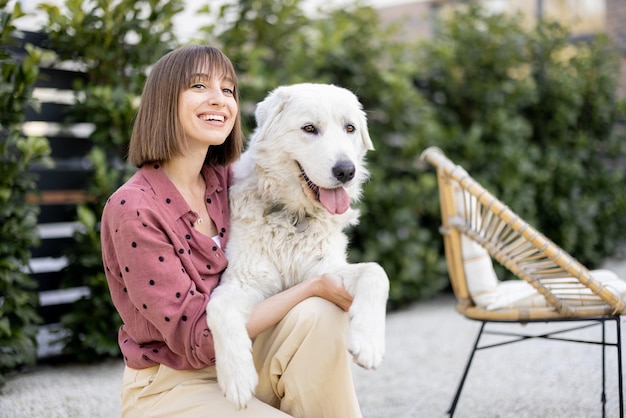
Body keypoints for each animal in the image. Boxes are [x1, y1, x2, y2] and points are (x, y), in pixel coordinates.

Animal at [207, 81, 388, 408]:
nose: (346, 171)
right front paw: (237, 377)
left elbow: (375, 272)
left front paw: (368, 342)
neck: (293, 217)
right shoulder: (244, 281)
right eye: (309, 128)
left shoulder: (324, 271)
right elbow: (218, 307)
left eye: (350, 128)